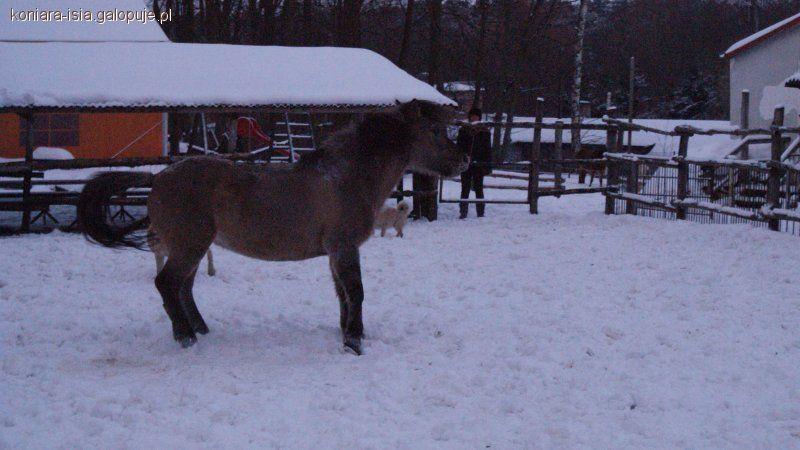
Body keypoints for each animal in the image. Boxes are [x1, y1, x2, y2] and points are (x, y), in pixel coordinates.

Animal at [78, 100, 468, 355]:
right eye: (436, 130)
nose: (463, 160)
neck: (345, 176)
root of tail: (158, 177)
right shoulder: (344, 247)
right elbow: (356, 292)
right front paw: (354, 342)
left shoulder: (335, 252)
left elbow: (342, 294)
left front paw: (346, 332)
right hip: (190, 245)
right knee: (167, 284)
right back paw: (185, 337)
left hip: (193, 247)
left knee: (183, 287)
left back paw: (201, 329)